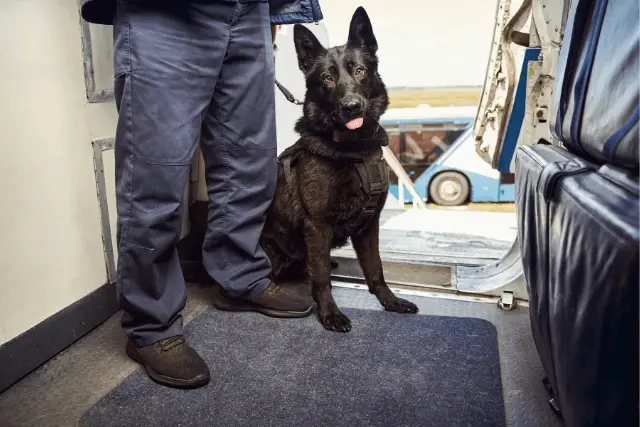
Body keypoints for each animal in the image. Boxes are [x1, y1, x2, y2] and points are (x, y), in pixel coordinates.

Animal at [260, 7, 420, 334]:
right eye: (328, 79)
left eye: (359, 70)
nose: (351, 107)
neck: (355, 150)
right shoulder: (317, 225)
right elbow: (322, 279)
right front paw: (330, 313)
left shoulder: (369, 226)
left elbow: (375, 269)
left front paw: (389, 301)